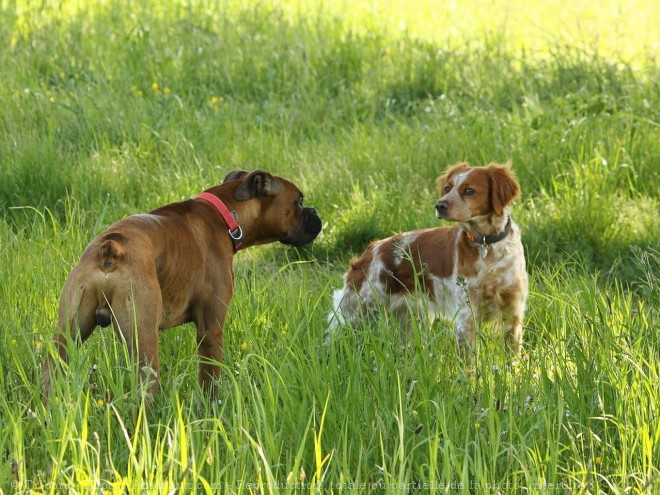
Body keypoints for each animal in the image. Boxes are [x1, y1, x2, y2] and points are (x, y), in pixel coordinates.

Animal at [41, 170, 322, 404]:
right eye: (298, 202)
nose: (316, 212)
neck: (225, 215)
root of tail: (110, 247)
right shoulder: (210, 332)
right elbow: (210, 383)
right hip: (144, 346)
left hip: (67, 336)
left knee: (50, 376)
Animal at [328, 163, 528, 356]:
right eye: (447, 188)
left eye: (469, 190)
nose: (440, 205)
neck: (487, 246)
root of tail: (369, 251)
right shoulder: (466, 316)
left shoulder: (513, 313)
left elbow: (512, 358)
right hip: (355, 312)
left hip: (411, 320)